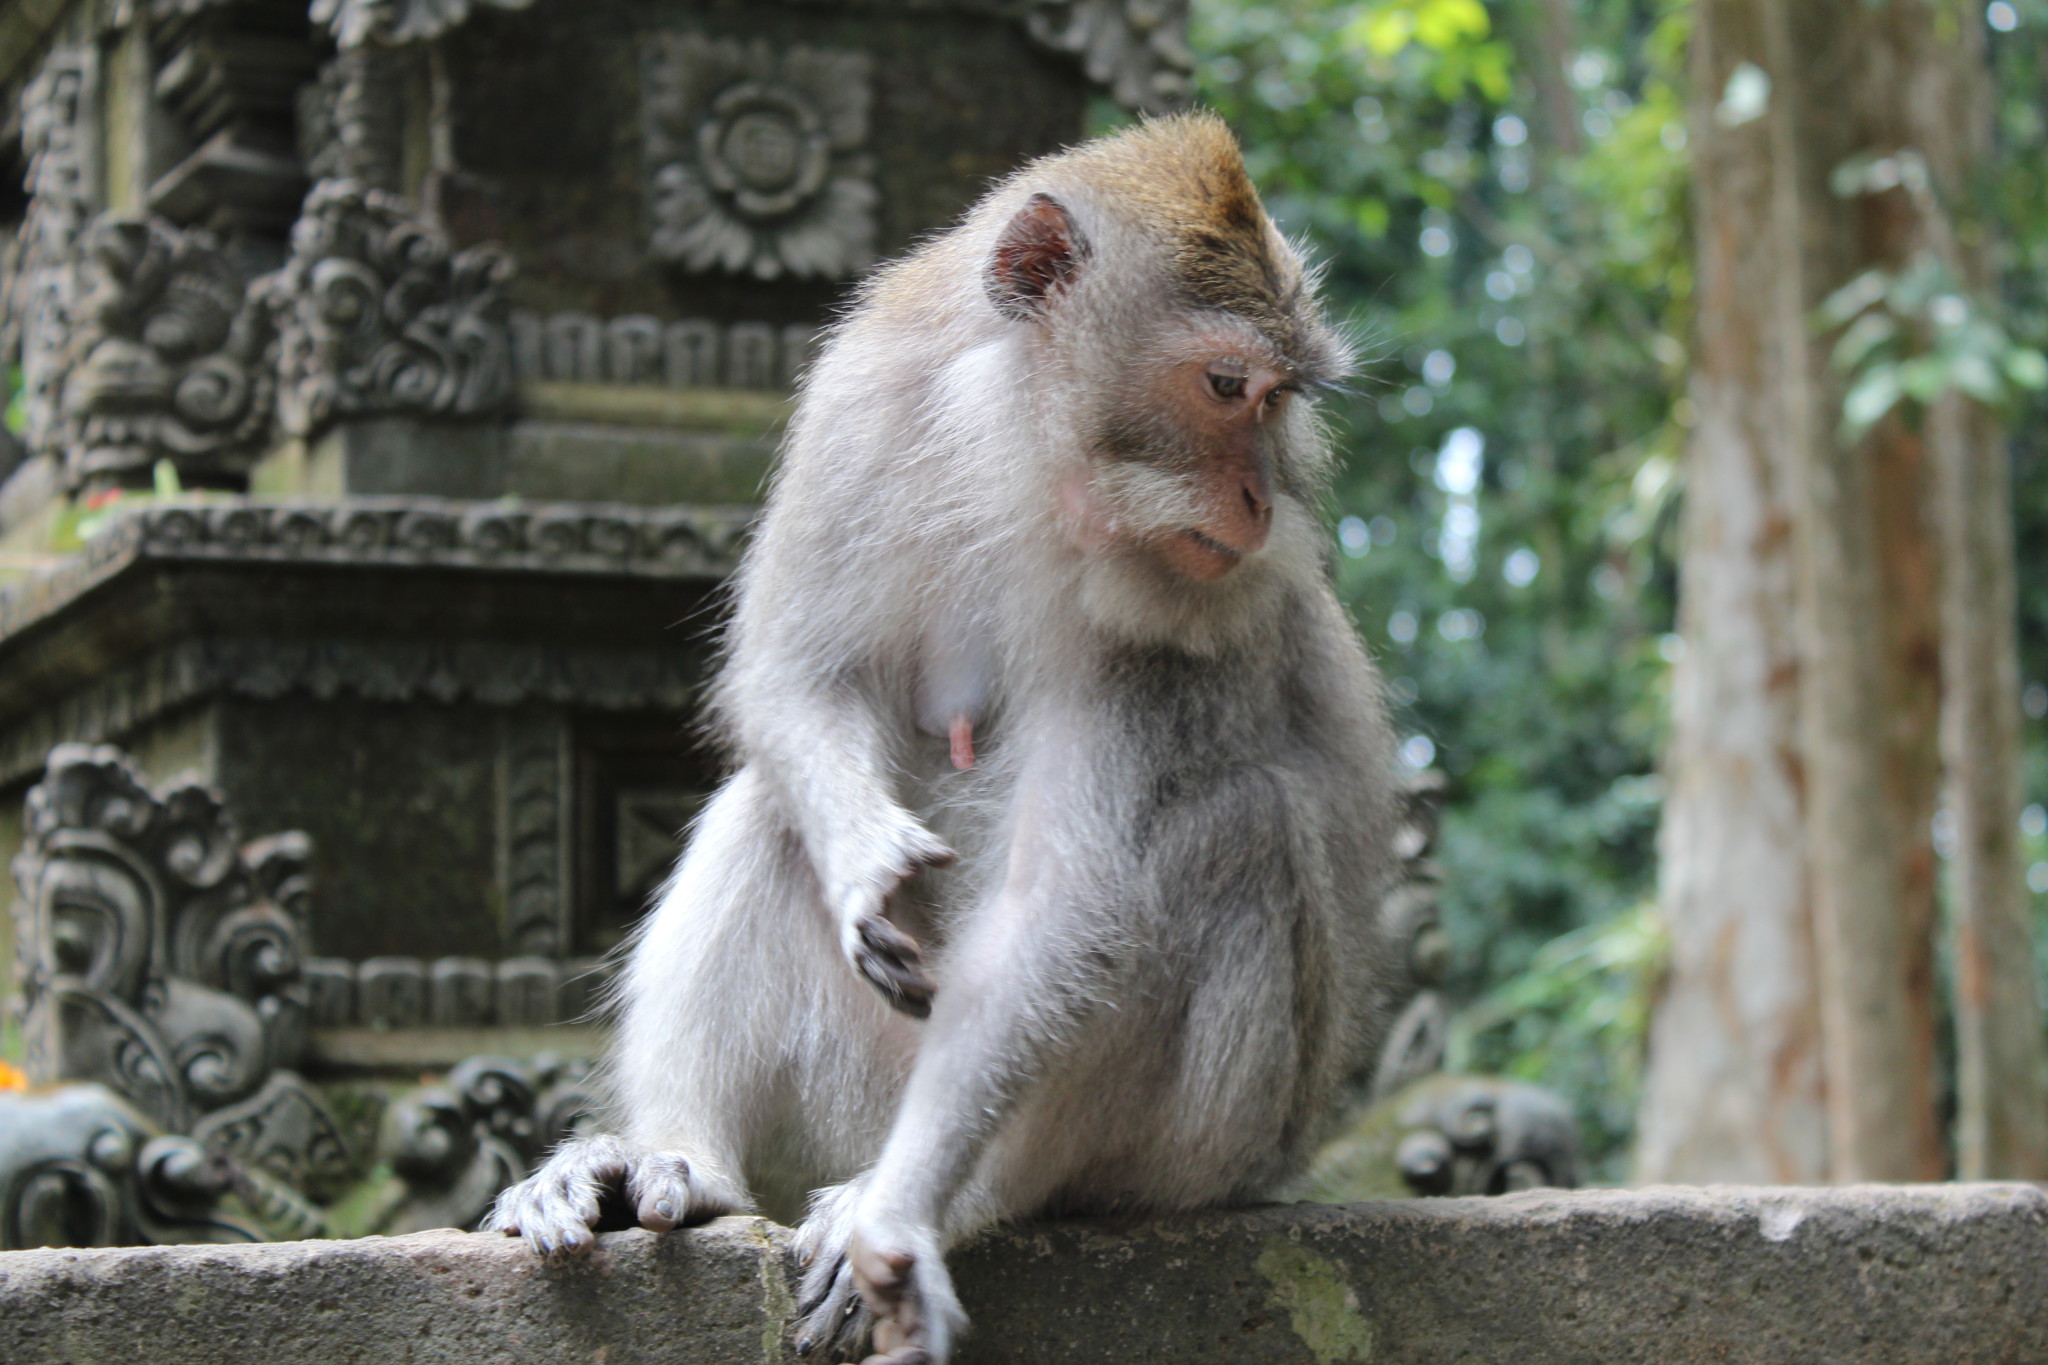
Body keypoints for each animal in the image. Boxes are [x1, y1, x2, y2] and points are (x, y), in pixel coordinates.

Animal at [486, 112, 1398, 1365]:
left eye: (1281, 401)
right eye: (1227, 386)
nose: (1264, 503)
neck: (1019, 457)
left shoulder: (1178, 621)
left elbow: (1059, 915)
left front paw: (906, 1217)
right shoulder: (862, 405)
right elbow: (796, 682)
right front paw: (864, 866)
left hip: (1204, 1152)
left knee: (1234, 832)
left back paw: (969, 1191)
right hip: (861, 1084)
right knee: (765, 812)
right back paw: (679, 1156)